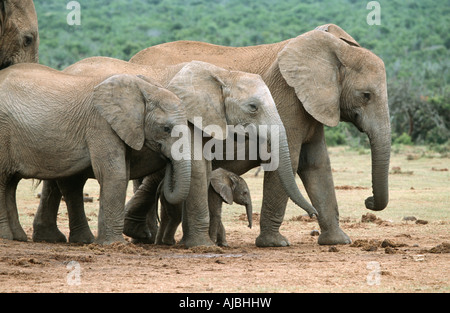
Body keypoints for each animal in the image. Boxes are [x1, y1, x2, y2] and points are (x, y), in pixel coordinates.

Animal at [0, 63, 192, 244]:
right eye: (166, 128)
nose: (167, 159)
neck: (142, 88)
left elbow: (122, 173)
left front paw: (103, 242)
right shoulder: (101, 124)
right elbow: (114, 174)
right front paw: (115, 244)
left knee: (11, 183)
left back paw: (20, 237)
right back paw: (8, 237)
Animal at [129, 23, 390, 246]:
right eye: (366, 95)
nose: (368, 201)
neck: (336, 48)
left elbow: (317, 164)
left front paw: (338, 241)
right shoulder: (288, 98)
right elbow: (288, 162)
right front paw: (275, 244)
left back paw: (147, 238)